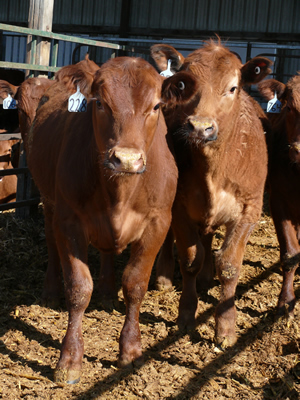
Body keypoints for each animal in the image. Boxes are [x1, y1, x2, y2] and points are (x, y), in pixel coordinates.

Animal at [26, 54, 178, 382]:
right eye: (99, 103)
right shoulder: (69, 221)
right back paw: (49, 291)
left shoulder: (158, 223)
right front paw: (69, 359)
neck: (120, 193)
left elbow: (135, 284)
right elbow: (79, 287)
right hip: (49, 202)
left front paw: (131, 350)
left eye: (156, 106)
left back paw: (108, 292)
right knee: (53, 248)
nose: (127, 159)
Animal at [151, 39, 274, 348]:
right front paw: (185, 315)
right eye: (184, 85)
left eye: (232, 88)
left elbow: (229, 265)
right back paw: (164, 277)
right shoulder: (179, 208)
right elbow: (190, 260)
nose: (200, 127)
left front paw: (226, 327)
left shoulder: (249, 210)